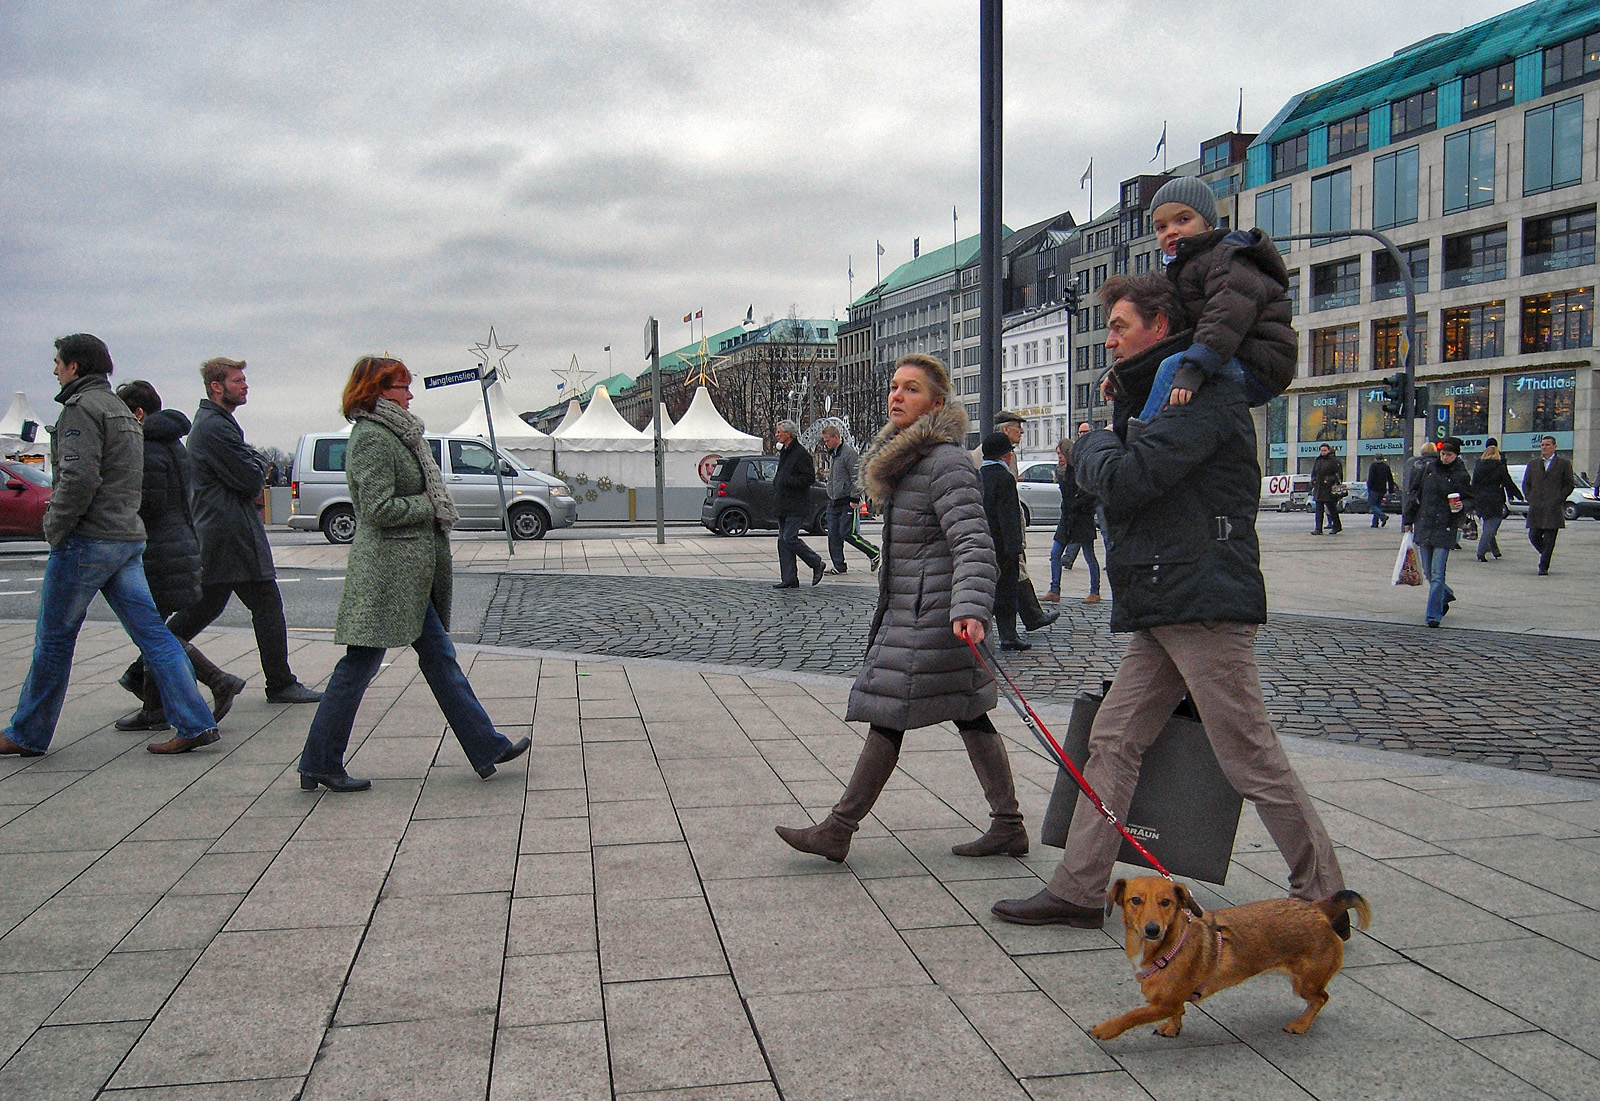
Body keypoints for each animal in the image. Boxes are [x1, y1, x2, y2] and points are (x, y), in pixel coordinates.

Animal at [1094, 876, 1369, 1043]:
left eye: (1166, 902)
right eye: (1135, 900)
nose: (1152, 930)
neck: (1166, 947)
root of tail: (1317, 909)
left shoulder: (1165, 1004)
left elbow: (1133, 1015)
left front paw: (1105, 1029)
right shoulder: (1172, 1003)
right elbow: (1177, 1013)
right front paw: (1172, 1028)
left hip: (1306, 982)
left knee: (1322, 998)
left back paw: (1301, 1024)